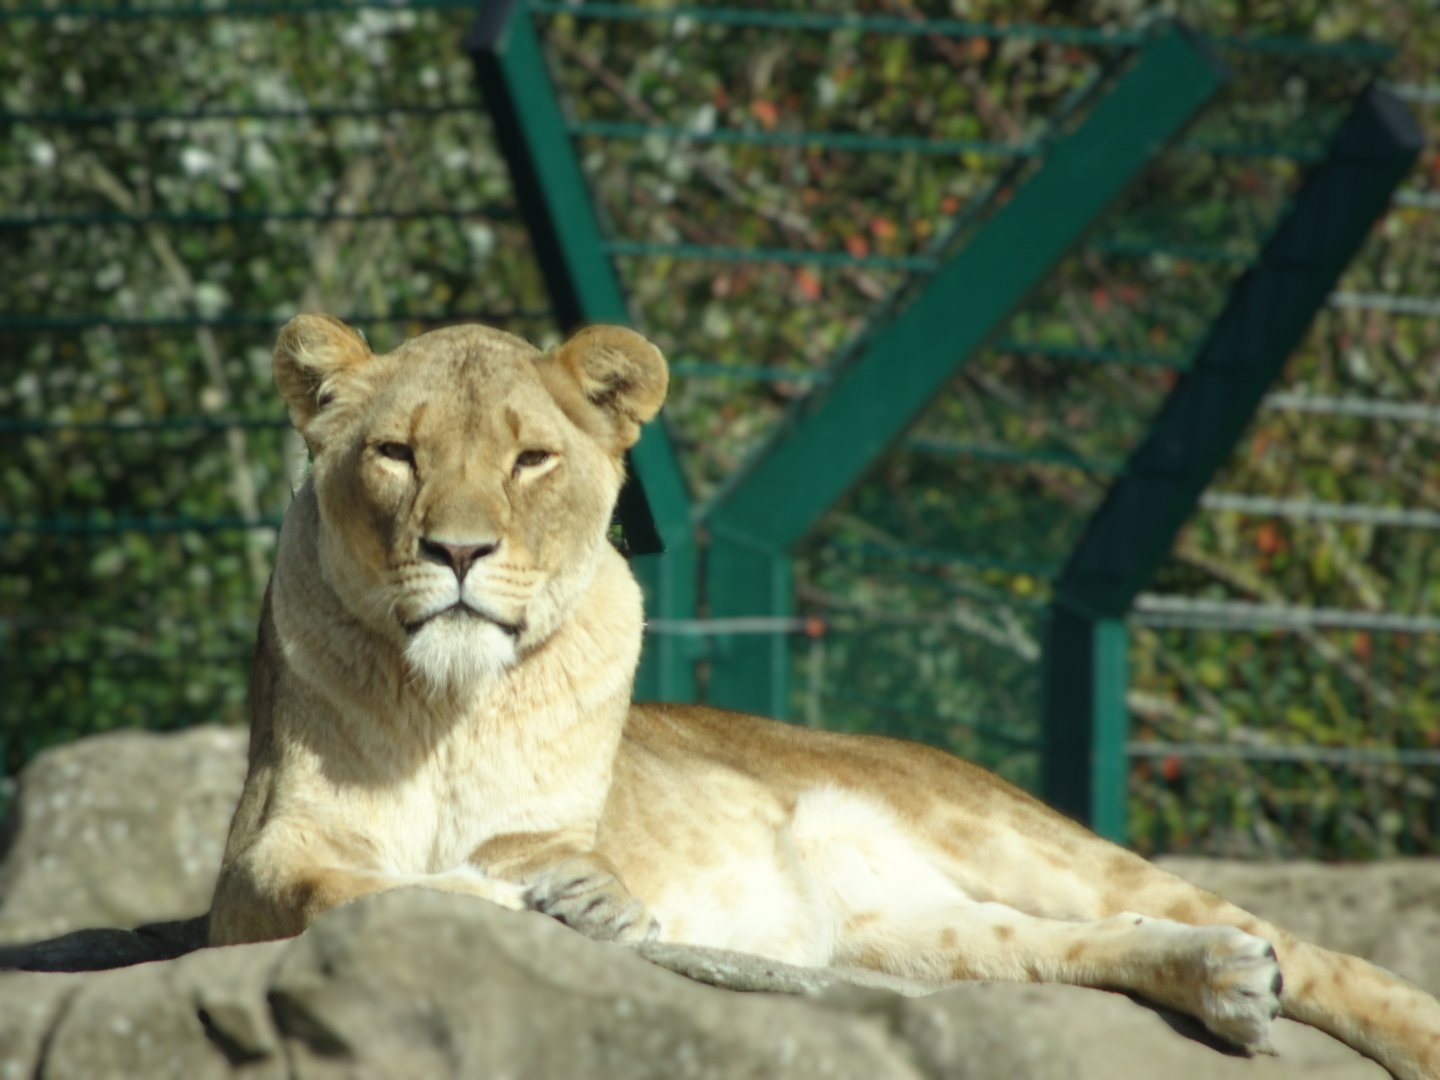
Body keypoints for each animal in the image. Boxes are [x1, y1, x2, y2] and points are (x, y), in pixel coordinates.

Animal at [210, 314, 1440, 1079]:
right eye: (397, 454)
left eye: (529, 461)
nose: (459, 551)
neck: (451, 708)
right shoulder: (258, 864)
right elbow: (349, 889)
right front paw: (537, 904)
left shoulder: (541, 831)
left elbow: (497, 871)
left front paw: (585, 901)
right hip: (900, 941)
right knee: (1081, 943)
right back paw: (1225, 981)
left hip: (1009, 836)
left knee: (1303, 946)